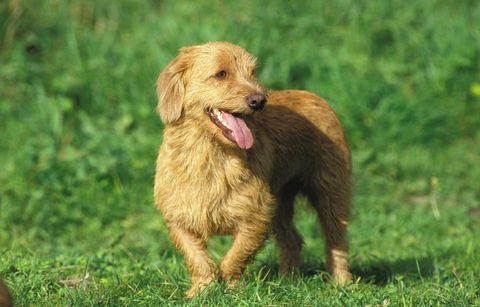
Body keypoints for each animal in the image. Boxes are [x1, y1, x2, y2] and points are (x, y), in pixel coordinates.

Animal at [155, 41, 352, 298]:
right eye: (221, 74)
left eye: (252, 73)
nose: (259, 100)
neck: (211, 155)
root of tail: (314, 96)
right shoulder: (178, 218)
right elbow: (197, 258)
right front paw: (201, 291)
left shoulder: (256, 216)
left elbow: (234, 257)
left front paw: (232, 288)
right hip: (280, 202)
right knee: (292, 240)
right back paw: (288, 282)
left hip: (330, 193)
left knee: (336, 239)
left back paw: (341, 283)